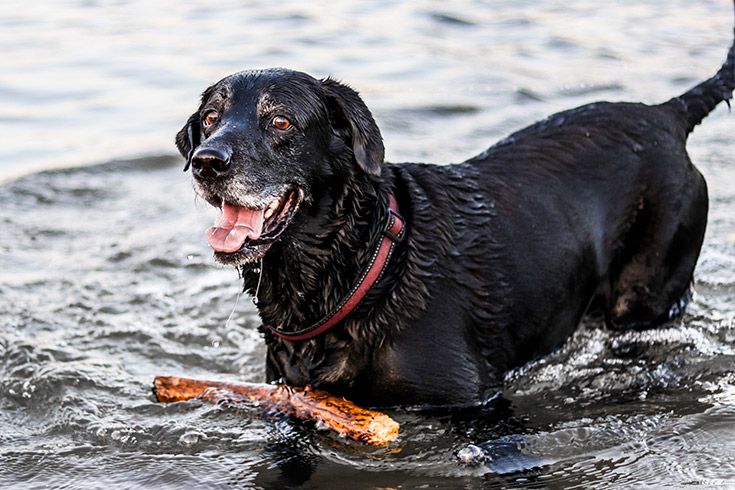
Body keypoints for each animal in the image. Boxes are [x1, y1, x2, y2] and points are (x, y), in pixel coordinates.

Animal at [178, 29, 735, 406]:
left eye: (280, 121)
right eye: (210, 118)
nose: (206, 162)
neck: (362, 266)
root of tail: (666, 114)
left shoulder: (477, 402)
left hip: (646, 292)